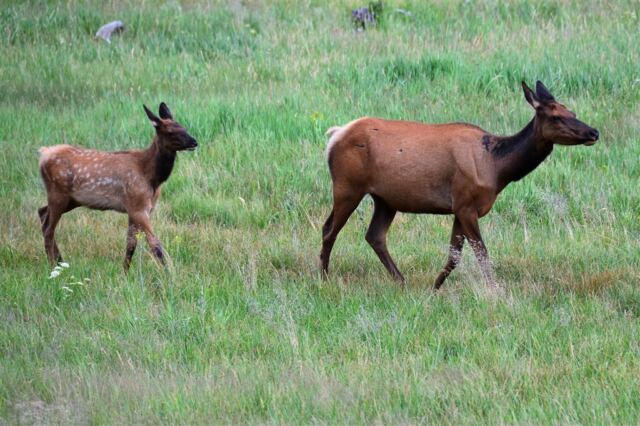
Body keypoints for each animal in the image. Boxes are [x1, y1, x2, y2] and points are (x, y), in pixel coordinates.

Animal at [38, 102, 197, 270]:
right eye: (171, 132)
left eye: (183, 127)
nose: (194, 142)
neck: (151, 177)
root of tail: (43, 155)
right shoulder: (138, 206)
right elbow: (155, 245)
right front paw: (169, 273)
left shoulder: (134, 208)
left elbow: (131, 244)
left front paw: (125, 272)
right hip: (58, 193)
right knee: (48, 229)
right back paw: (53, 266)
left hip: (71, 200)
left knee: (42, 213)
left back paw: (60, 262)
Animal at [321, 81, 599, 289]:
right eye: (556, 116)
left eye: (572, 112)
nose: (594, 132)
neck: (498, 168)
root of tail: (335, 136)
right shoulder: (466, 204)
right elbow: (482, 253)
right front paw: (497, 292)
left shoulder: (459, 208)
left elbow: (454, 256)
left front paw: (434, 288)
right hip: (347, 186)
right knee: (329, 229)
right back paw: (324, 278)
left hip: (386, 199)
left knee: (374, 235)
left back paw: (401, 281)